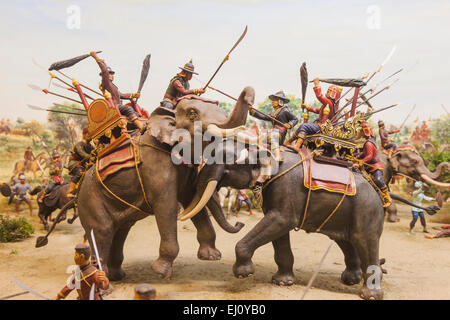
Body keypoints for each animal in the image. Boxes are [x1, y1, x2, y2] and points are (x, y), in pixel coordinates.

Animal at [75, 87, 255, 280]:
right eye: (193, 114)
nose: (240, 224)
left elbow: (193, 199)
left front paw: (211, 257)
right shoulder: (157, 166)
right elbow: (166, 205)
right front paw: (161, 272)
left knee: (121, 230)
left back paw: (117, 276)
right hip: (90, 200)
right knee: (102, 230)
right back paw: (102, 278)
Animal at [179, 140, 386, 300]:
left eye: (226, 164)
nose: (239, 223)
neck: (266, 148)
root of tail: (379, 192)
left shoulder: (286, 188)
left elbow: (281, 221)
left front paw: (243, 274)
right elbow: (279, 234)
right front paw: (282, 282)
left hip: (366, 210)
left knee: (364, 241)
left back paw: (370, 294)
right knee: (345, 241)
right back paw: (351, 279)